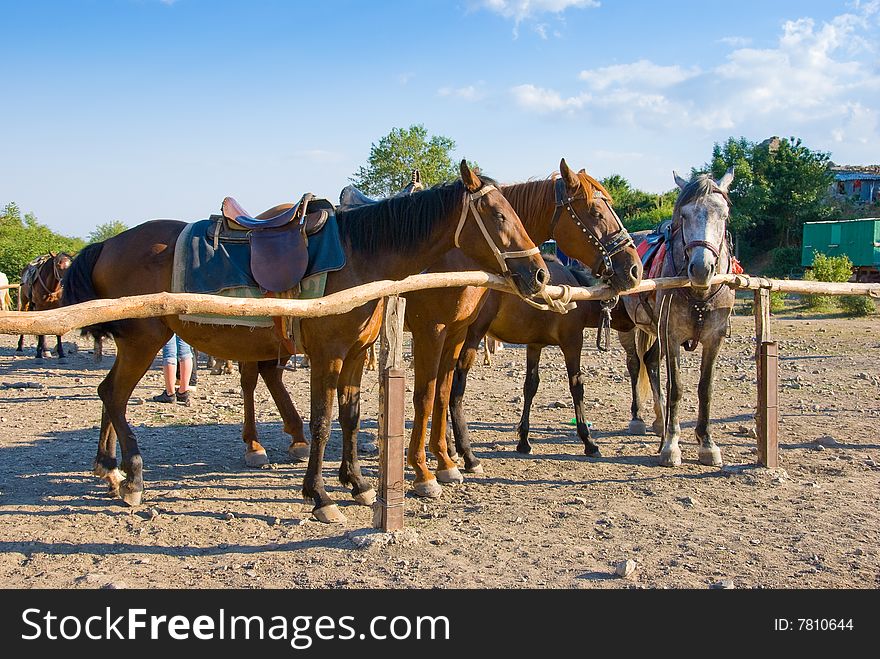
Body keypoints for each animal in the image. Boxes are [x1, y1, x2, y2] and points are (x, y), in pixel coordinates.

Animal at [62, 162, 548, 524]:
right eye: (498, 215)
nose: (540, 274)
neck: (359, 258)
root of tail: (107, 244)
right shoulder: (330, 355)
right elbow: (323, 421)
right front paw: (321, 496)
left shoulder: (357, 354)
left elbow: (351, 416)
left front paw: (358, 484)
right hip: (144, 339)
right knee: (115, 394)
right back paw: (133, 478)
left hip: (141, 341)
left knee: (110, 393)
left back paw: (109, 470)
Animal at [446, 255, 632, 462]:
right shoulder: (572, 341)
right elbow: (576, 386)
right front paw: (588, 441)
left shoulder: (535, 345)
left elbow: (530, 386)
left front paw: (524, 440)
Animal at [620, 170, 736, 470]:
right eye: (684, 215)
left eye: (724, 214)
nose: (701, 268)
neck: (699, 294)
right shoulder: (671, 337)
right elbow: (677, 388)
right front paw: (671, 446)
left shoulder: (714, 339)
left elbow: (705, 388)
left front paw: (707, 443)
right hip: (628, 327)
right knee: (635, 363)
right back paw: (638, 418)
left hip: (655, 330)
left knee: (650, 361)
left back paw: (659, 420)